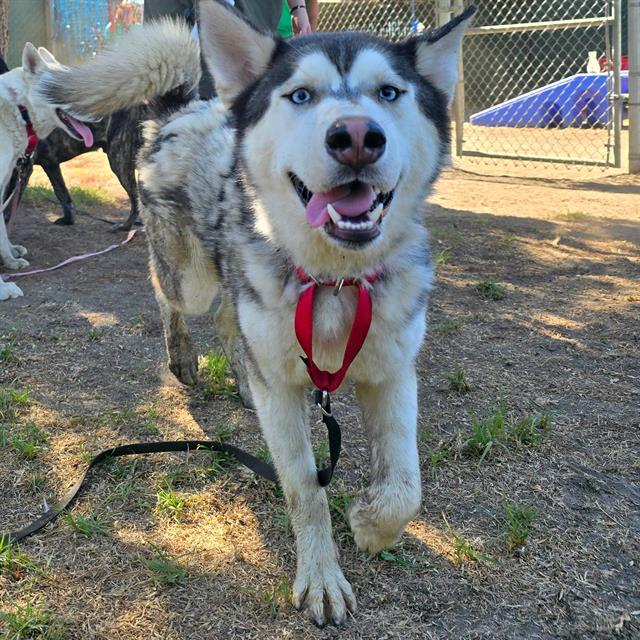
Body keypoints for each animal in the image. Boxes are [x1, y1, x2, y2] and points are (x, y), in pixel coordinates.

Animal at [37, 2, 472, 624]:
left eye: (389, 92)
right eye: (300, 95)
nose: (356, 137)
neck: (332, 278)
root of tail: (187, 107)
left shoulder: (392, 372)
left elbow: (406, 485)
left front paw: (372, 525)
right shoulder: (285, 392)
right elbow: (305, 490)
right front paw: (321, 576)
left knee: (228, 322)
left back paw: (240, 383)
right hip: (190, 277)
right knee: (170, 297)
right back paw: (182, 359)